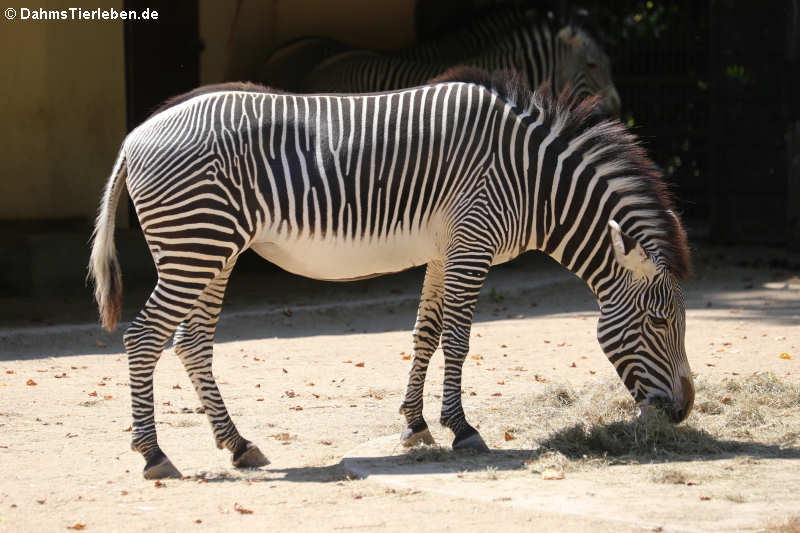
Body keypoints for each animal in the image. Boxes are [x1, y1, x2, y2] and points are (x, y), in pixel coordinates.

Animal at [89, 66, 692, 478]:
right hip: (196, 247)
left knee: (191, 345)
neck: (530, 178)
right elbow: (458, 340)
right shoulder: (472, 244)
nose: (684, 411)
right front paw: (462, 429)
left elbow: (425, 334)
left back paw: (238, 445)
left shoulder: (445, 250)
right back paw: (154, 454)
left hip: (214, 253)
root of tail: (133, 137)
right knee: (144, 339)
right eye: (660, 323)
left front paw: (415, 425)